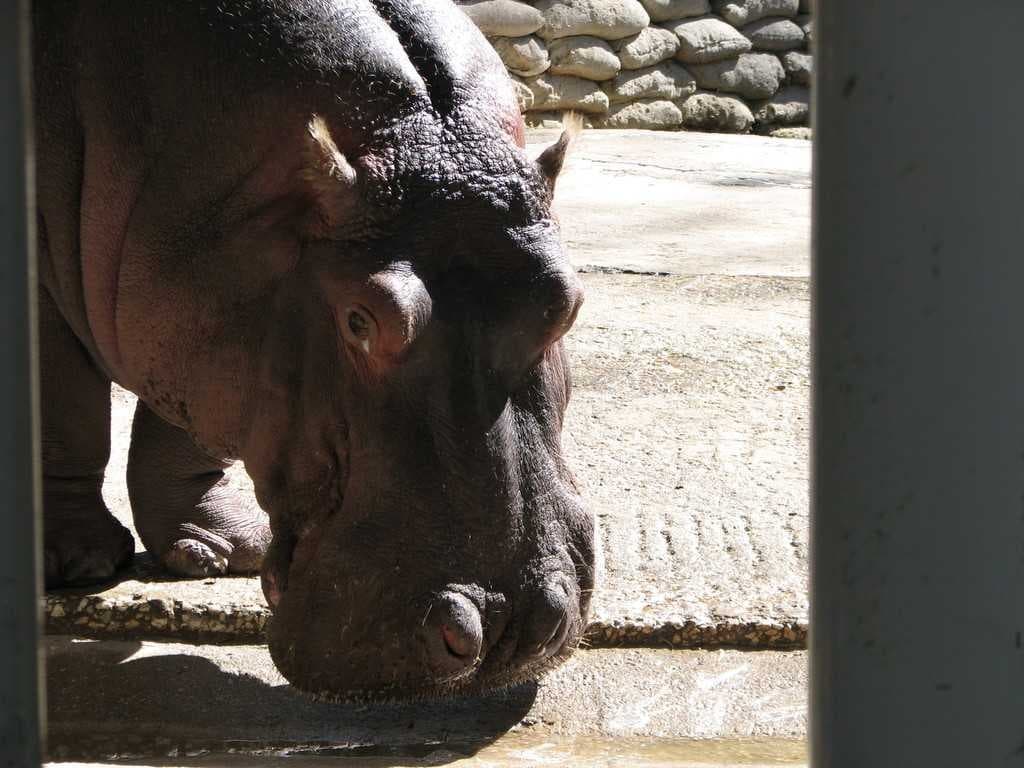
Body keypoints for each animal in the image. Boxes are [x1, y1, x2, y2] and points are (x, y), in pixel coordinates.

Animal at [33, 0, 594, 699]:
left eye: (569, 301)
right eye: (360, 320)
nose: (510, 626)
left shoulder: (193, 311)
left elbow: (184, 427)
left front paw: (217, 553)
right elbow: (62, 414)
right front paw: (75, 562)